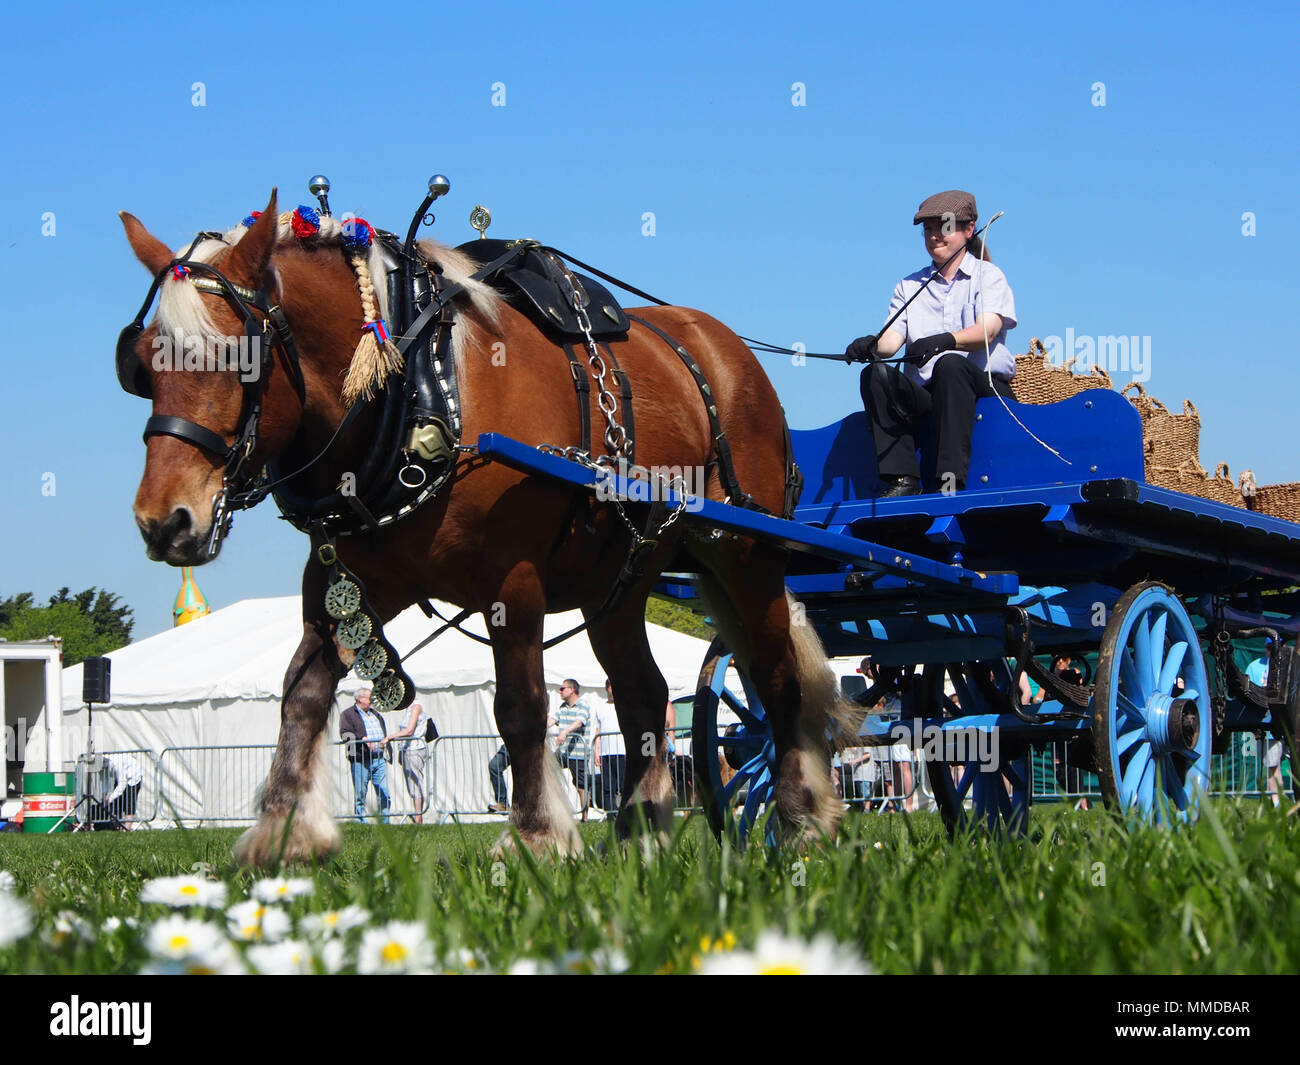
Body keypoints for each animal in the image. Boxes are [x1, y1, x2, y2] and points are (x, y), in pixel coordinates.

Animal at [114, 191, 842, 868]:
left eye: (238, 356)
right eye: (141, 365)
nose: (163, 521)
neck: (422, 387)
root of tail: (725, 347)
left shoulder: (512, 578)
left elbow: (520, 705)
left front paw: (536, 837)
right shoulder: (348, 580)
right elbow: (303, 692)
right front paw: (284, 834)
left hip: (746, 555)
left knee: (777, 679)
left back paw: (802, 821)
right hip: (618, 580)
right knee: (644, 695)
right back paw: (638, 834)